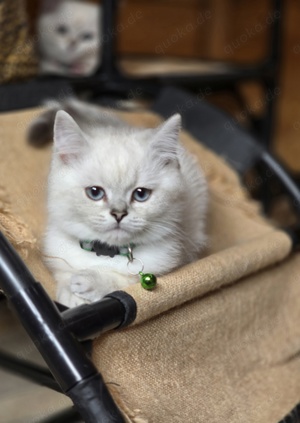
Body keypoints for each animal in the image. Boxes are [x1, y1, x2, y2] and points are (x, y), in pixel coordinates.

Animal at [28, 100, 209, 308]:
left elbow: (124, 281)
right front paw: (71, 294)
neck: (107, 254)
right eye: (95, 192)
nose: (118, 214)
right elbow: (64, 272)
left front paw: (88, 281)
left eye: (141, 194)